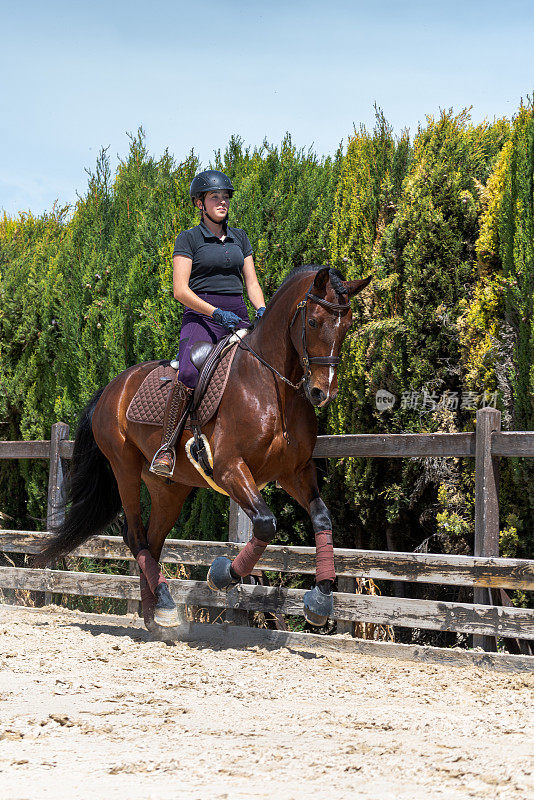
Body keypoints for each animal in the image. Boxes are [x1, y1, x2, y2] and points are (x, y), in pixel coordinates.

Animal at [34, 268, 372, 632]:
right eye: (312, 321)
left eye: (347, 324)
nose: (322, 392)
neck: (272, 387)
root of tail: (113, 386)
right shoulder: (229, 468)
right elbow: (265, 524)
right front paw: (222, 575)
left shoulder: (294, 472)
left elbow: (322, 518)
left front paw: (321, 598)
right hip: (124, 469)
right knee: (136, 536)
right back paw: (164, 607)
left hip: (170, 489)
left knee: (152, 541)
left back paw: (156, 613)